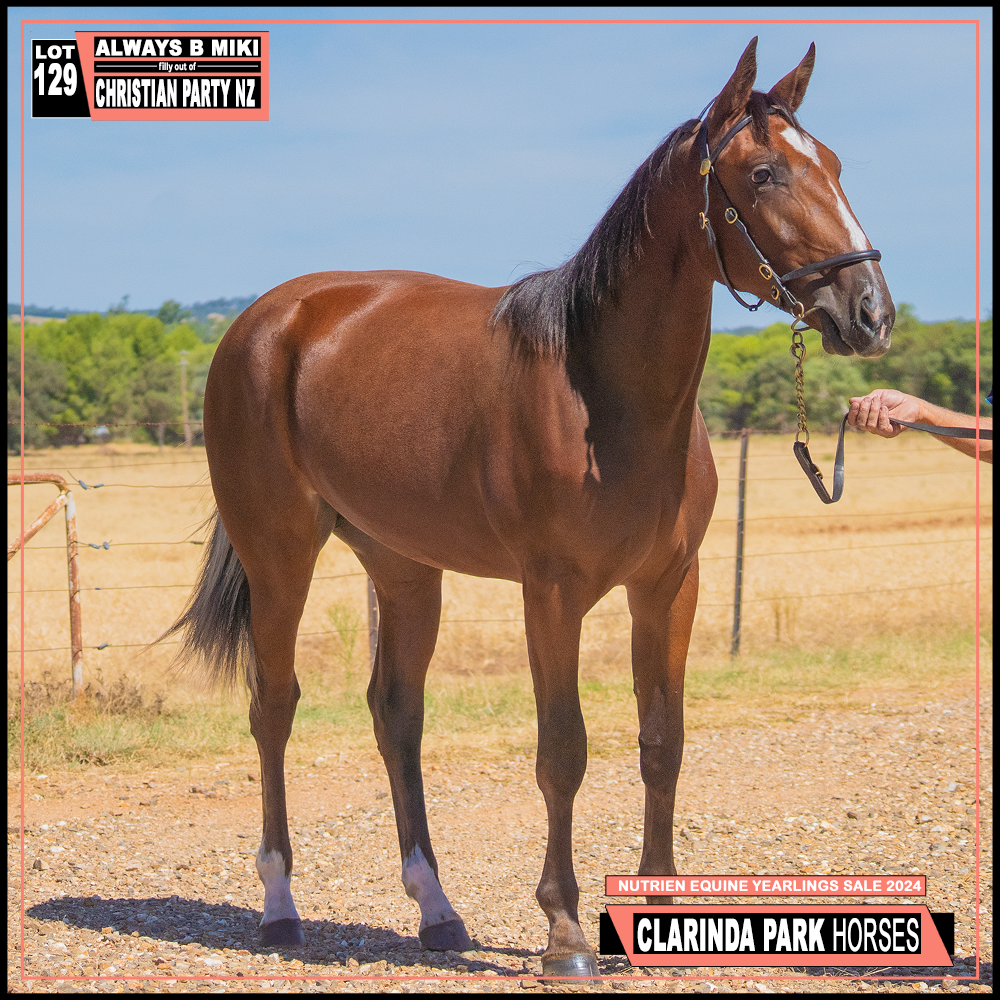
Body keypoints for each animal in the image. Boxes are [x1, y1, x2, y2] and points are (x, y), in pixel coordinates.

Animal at [161, 37, 894, 980]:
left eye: (833, 164)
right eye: (764, 173)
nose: (871, 312)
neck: (602, 394)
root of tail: (265, 321)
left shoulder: (670, 587)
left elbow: (663, 741)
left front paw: (658, 920)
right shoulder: (551, 594)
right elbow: (563, 752)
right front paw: (566, 933)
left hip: (404, 568)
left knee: (396, 713)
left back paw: (437, 912)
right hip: (280, 554)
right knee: (274, 707)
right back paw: (280, 907)